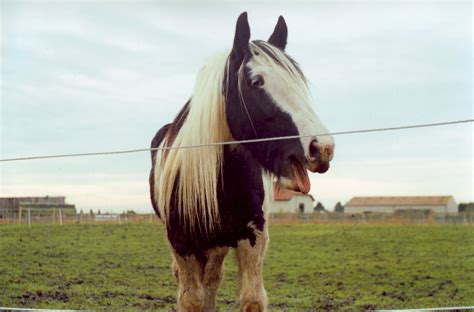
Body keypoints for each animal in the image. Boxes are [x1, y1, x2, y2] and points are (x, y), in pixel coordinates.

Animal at [148, 12, 334, 312]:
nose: (322, 147)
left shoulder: (253, 238)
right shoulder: (181, 243)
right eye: (257, 81)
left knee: (212, 279)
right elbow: (192, 299)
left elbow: (250, 297)